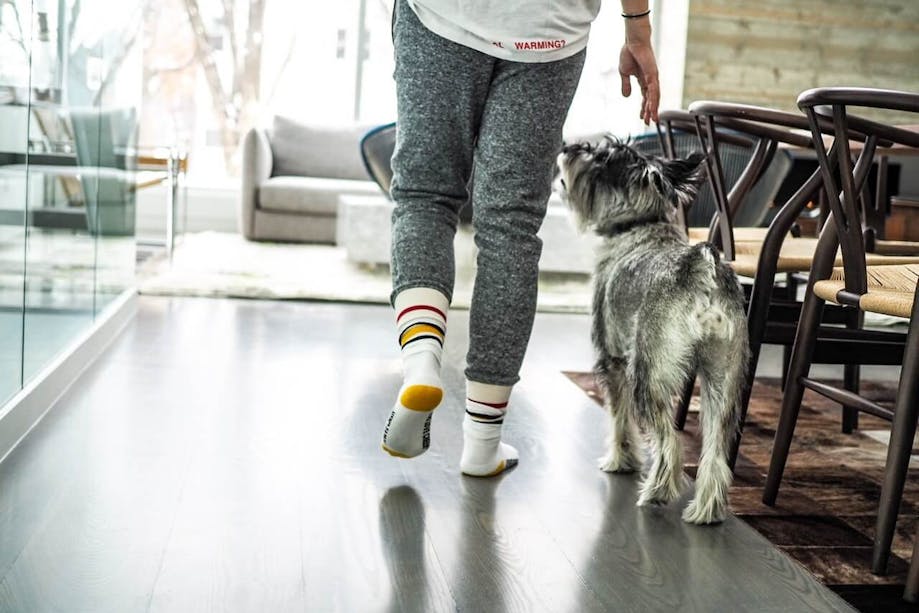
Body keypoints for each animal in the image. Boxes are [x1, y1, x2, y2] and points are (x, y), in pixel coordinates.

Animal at [556, 137, 752, 520]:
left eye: (599, 156)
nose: (569, 147)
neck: (638, 225)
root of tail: (703, 269)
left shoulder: (613, 361)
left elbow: (618, 419)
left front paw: (620, 460)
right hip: (723, 381)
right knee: (714, 451)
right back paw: (706, 510)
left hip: (649, 376)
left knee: (669, 441)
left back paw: (657, 492)